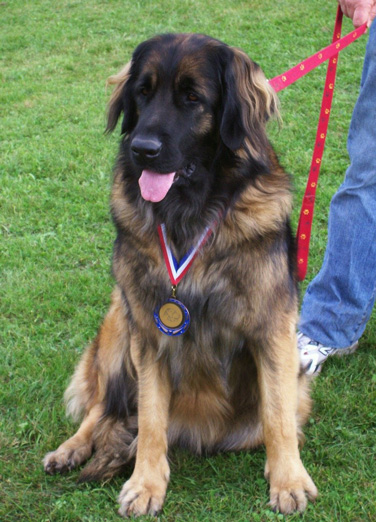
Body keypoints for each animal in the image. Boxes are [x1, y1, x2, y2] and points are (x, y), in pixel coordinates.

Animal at [44, 33, 318, 516]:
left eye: (193, 98)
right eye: (142, 93)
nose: (142, 149)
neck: (191, 216)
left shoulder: (273, 329)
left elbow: (278, 415)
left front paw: (288, 478)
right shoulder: (149, 333)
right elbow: (151, 418)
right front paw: (146, 484)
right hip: (120, 319)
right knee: (102, 406)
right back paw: (71, 449)